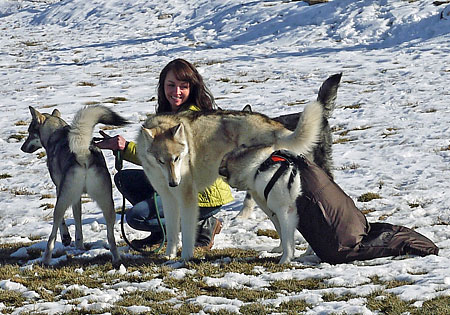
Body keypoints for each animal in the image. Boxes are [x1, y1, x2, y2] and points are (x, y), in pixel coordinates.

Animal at [21, 106, 128, 266]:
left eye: (29, 132)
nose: (22, 148)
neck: (56, 133)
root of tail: (83, 152)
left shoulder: (59, 190)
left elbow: (63, 223)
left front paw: (67, 238)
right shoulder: (77, 198)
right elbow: (78, 220)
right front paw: (79, 245)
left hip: (62, 201)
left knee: (52, 236)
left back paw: (46, 260)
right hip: (108, 205)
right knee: (111, 237)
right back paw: (116, 260)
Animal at [136, 93, 324, 262]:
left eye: (177, 158)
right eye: (160, 161)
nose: (174, 183)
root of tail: (273, 125)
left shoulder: (187, 197)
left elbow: (188, 234)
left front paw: (185, 258)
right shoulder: (168, 198)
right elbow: (172, 233)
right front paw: (169, 255)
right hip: (264, 198)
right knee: (281, 226)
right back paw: (280, 250)